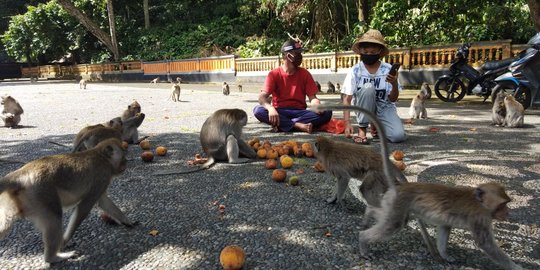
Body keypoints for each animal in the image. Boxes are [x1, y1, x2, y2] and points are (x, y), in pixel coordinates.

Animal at [0, 139, 136, 264]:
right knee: (54, 217)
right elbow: (84, 208)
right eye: (123, 157)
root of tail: (21, 173)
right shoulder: (102, 176)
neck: (101, 156)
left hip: (18, 200)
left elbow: (103, 202)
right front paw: (64, 241)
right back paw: (53, 257)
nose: (125, 165)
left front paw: (127, 221)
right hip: (42, 193)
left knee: (6, 224)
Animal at [356, 181, 520, 270]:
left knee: (391, 217)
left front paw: (444, 254)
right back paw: (363, 241)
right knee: (394, 224)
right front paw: (515, 266)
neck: (479, 202)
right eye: (502, 205)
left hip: (394, 204)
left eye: (507, 203)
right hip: (398, 203)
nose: (508, 212)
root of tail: (397, 188)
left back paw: (369, 212)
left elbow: (445, 227)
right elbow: (486, 244)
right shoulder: (480, 218)